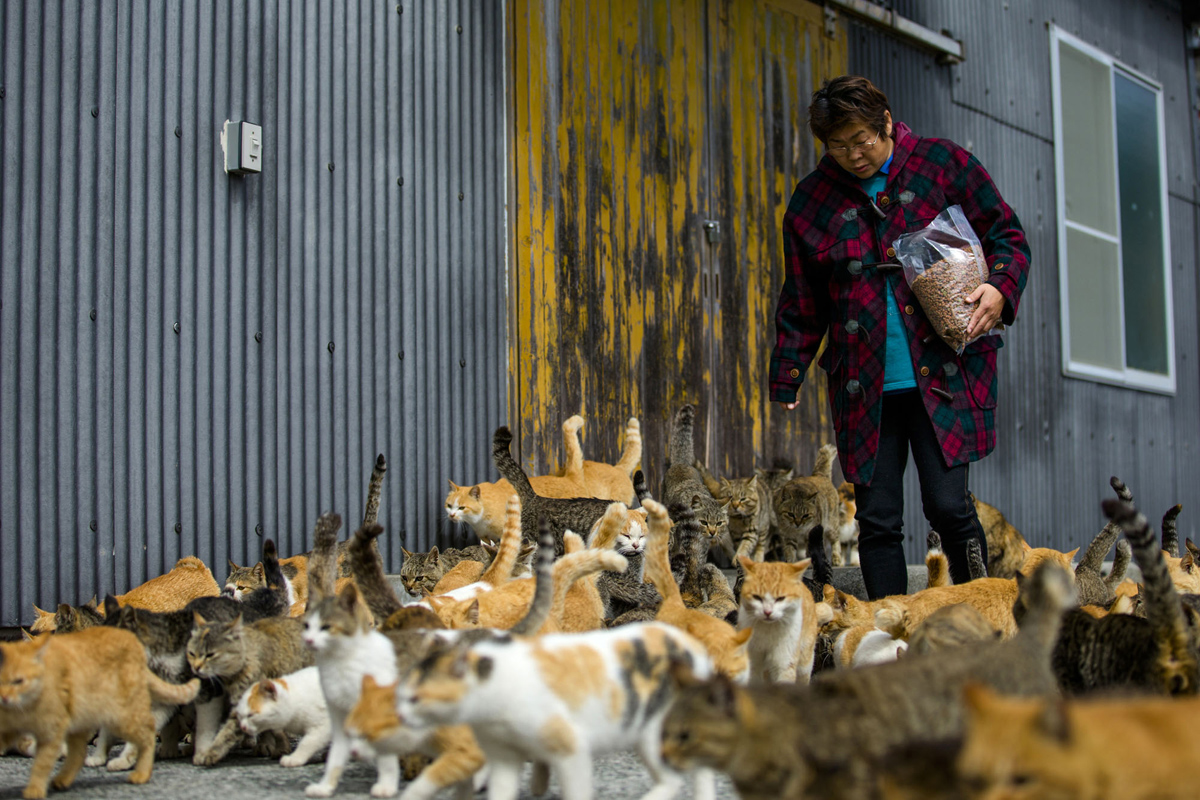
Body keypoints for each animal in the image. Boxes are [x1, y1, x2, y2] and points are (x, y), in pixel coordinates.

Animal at [393, 623, 715, 800]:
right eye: (401, 693)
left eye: (416, 698)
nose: (399, 715)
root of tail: (695, 648)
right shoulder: (503, 756)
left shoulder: (571, 748)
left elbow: (576, 790)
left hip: (656, 731)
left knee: (674, 779)